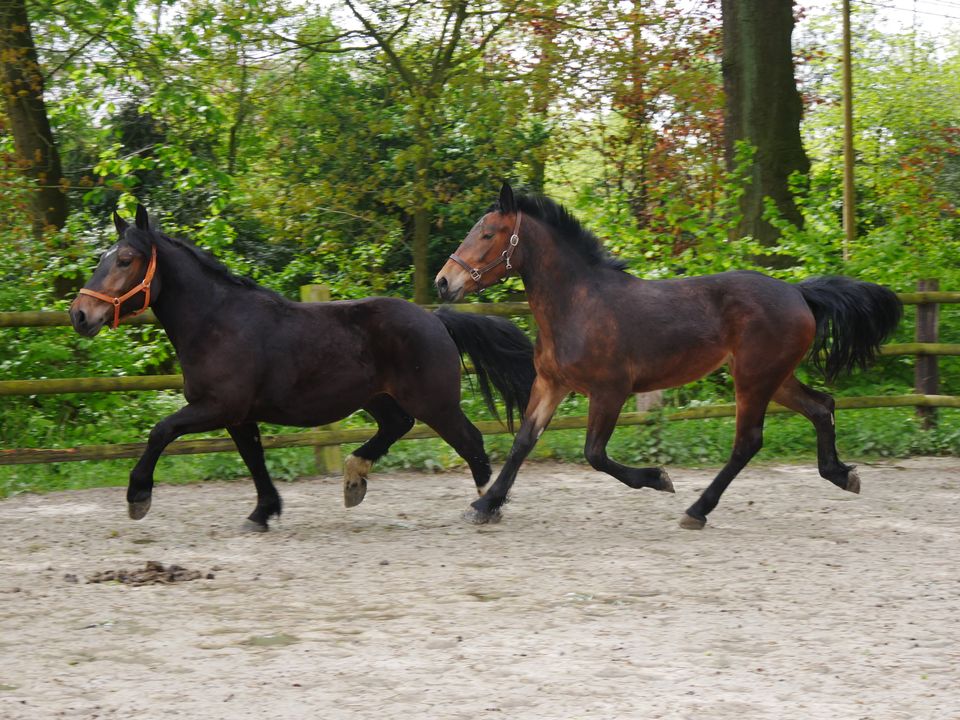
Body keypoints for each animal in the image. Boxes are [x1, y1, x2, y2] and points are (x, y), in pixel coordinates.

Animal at [71, 205, 536, 532]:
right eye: (104, 258)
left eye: (125, 259)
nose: (79, 314)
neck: (216, 322)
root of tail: (435, 318)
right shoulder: (238, 416)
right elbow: (254, 459)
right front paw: (263, 512)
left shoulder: (217, 407)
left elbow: (160, 432)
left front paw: (138, 496)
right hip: (377, 398)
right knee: (396, 426)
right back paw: (354, 480)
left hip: (434, 403)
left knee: (470, 440)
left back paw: (485, 505)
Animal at [438, 183, 904, 524]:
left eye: (487, 234)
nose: (444, 282)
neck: (578, 303)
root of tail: (798, 293)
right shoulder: (552, 384)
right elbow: (523, 442)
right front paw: (486, 505)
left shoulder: (609, 391)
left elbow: (594, 454)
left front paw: (658, 478)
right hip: (774, 377)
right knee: (821, 406)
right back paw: (841, 474)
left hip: (753, 379)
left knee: (748, 441)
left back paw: (697, 510)